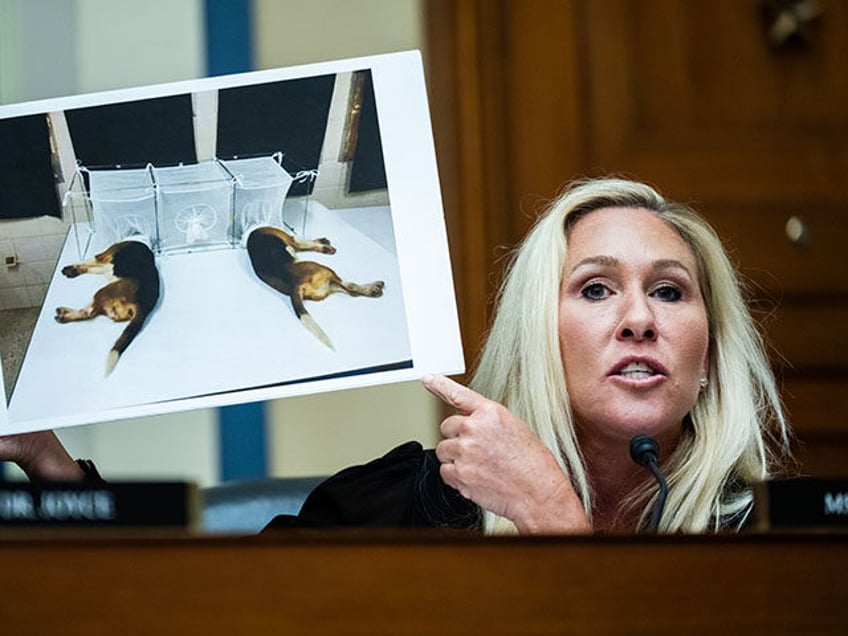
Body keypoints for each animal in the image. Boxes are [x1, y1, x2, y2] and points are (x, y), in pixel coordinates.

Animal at [57, 241, 162, 376]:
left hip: (102, 291)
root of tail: (142, 305)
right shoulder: (102, 266)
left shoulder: (101, 257)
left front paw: (71, 267)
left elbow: (88, 261)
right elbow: (90, 267)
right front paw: (75, 270)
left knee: (88, 312)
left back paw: (63, 314)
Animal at [245, 226, 384, 350]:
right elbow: (306, 243)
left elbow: (308, 244)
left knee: (350, 290)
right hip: (327, 271)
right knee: (351, 286)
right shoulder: (293, 239)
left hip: (329, 283)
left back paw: (372, 290)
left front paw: (323, 243)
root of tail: (294, 284)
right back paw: (374, 287)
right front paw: (325, 246)